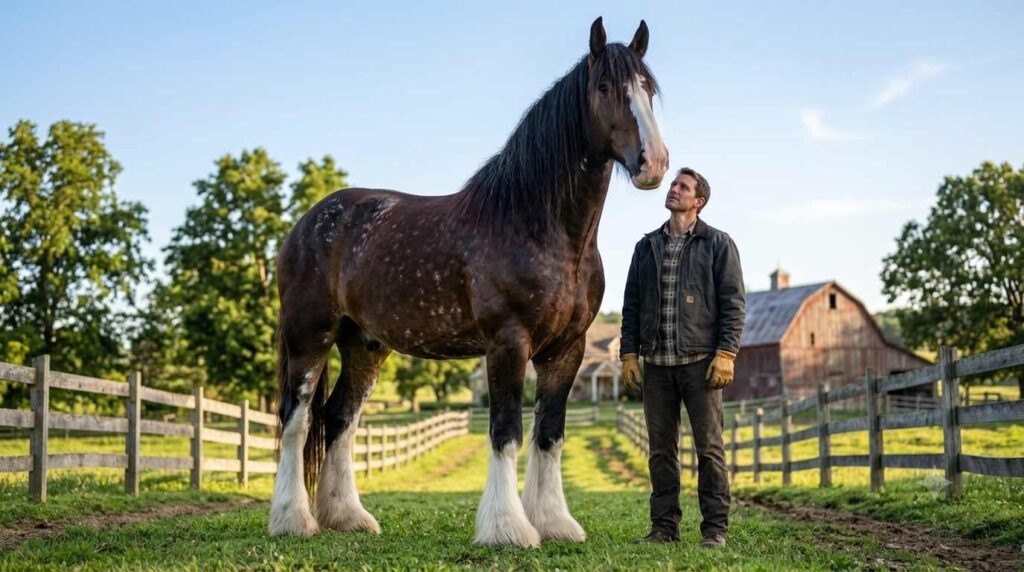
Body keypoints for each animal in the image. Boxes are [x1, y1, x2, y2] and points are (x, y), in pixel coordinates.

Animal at [269, 17, 669, 547]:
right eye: (604, 86)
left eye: (649, 89)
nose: (653, 163)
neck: (537, 224)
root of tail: (307, 223)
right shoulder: (508, 342)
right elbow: (505, 430)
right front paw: (507, 528)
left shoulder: (568, 349)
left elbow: (550, 432)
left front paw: (554, 522)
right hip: (309, 336)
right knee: (296, 419)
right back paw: (293, 520)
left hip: (364, 345)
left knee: (339, 420)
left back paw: (348, 517)